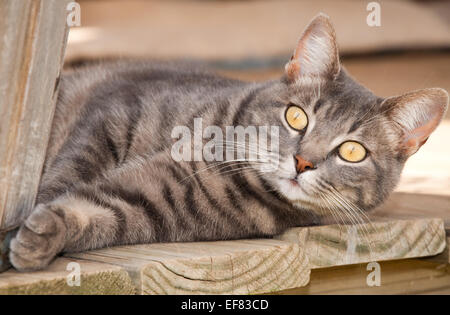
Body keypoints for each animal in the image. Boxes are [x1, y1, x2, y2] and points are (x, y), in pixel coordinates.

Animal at [8, 14, 448, 272]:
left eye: (352, 151)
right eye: (297, 116)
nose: (303, 162)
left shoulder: (153, 204)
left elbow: (95, 210)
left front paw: (38, 238)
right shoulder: (113, 110)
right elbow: (68, 171)